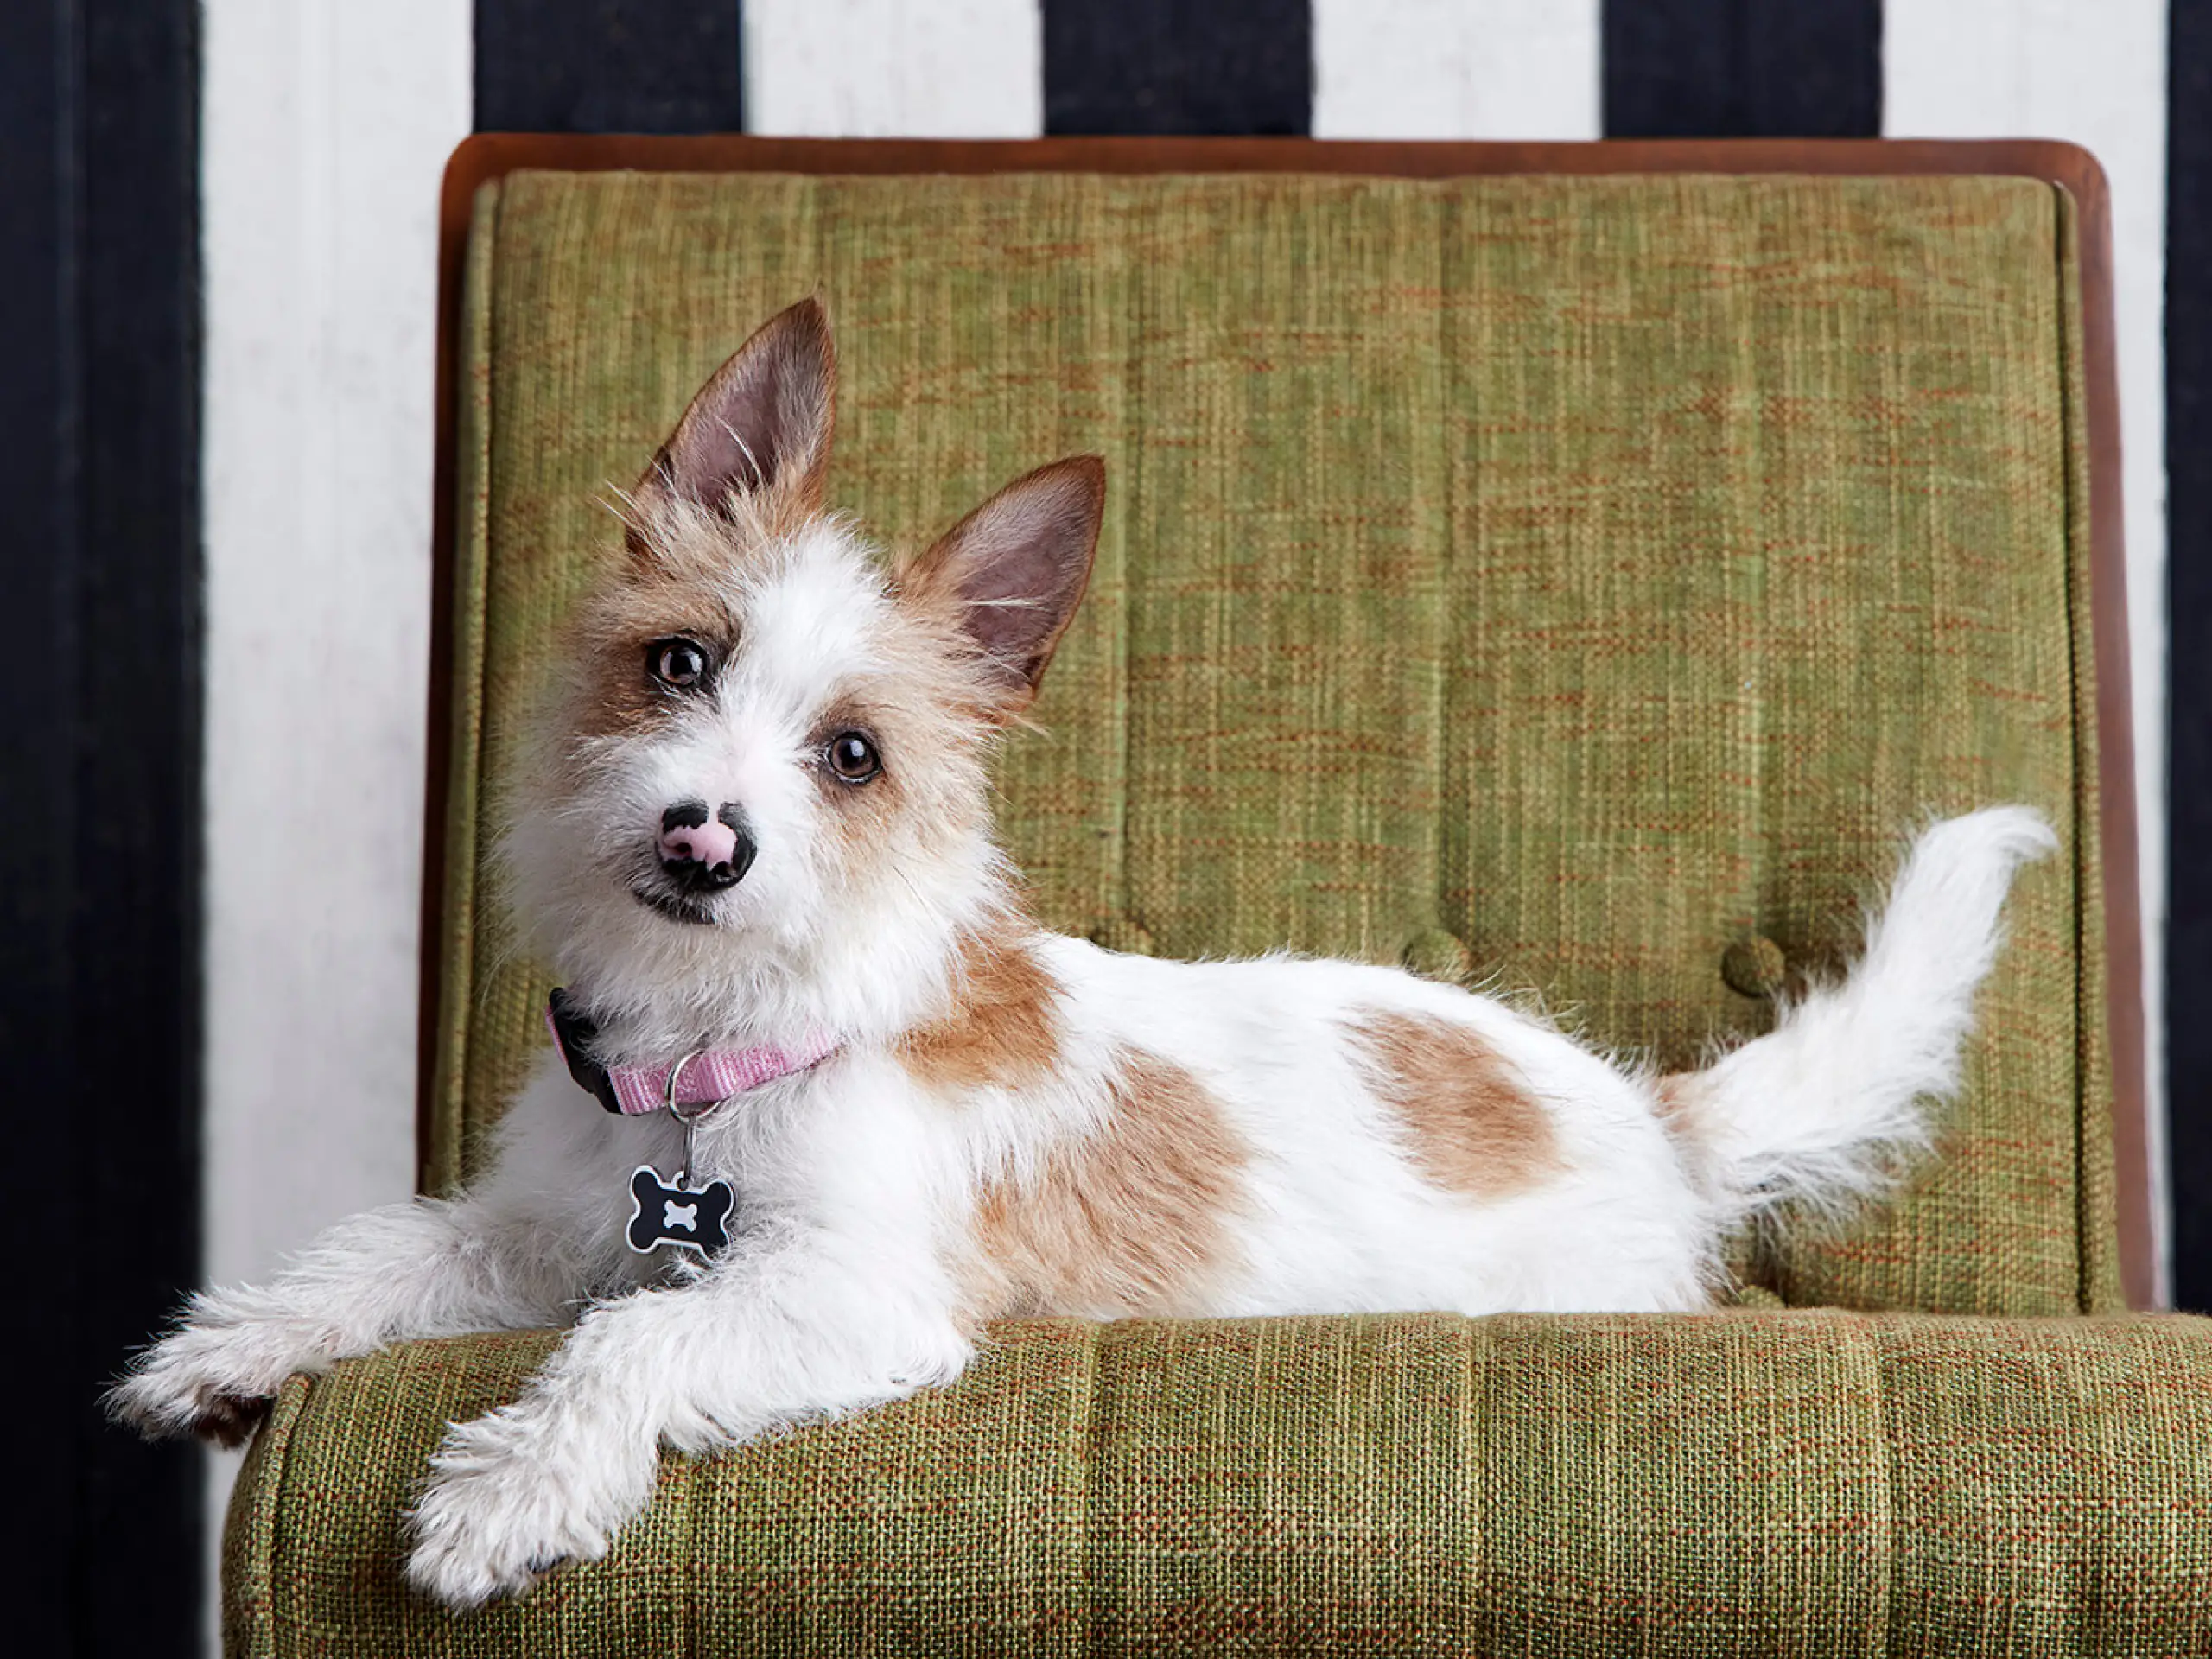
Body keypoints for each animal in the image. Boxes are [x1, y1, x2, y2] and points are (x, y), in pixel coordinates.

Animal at [111, 298, 2052, 1610]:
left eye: (852, 756)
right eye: (678, 665)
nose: (701, 841)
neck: (722, 1050)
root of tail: (1650, 1115)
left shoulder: (849, 1292)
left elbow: (634, 1344)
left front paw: (506, 1490)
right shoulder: (550, 1220)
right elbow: (399, 1246)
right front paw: (237, 1346)